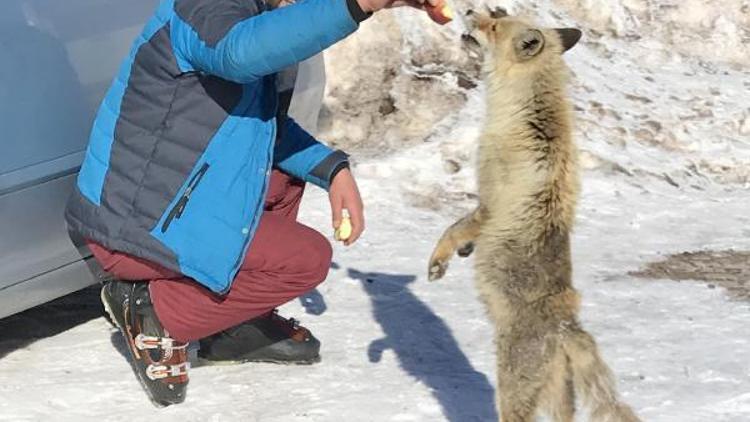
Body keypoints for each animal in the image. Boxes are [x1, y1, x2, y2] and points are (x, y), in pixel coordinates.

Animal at [428, 7, 640, 422]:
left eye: (494, 24)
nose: (470, 9)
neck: (525, 116)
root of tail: (566, 325)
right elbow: (464, 234)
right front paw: (464, 253)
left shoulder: (488, 201)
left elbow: (453, 229)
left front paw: (439, 262)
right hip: (558, 399)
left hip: (511, 390)